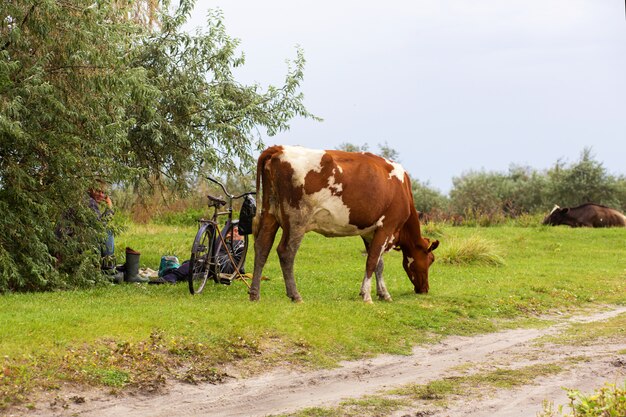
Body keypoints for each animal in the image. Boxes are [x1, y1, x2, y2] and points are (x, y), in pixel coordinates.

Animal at [246, 145, 436, 302]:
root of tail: (279, 148)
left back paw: (255, 294)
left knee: (262, 247)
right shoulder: (387, 227)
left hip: (270, 213)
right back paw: (295, 295)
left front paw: (383, 294)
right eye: (430, 259)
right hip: (297, 219)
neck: (403, 189)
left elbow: (379, 264)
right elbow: (372, 261)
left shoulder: (370, 232)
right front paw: (367, 295)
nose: (425, 289)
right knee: (286, 252)